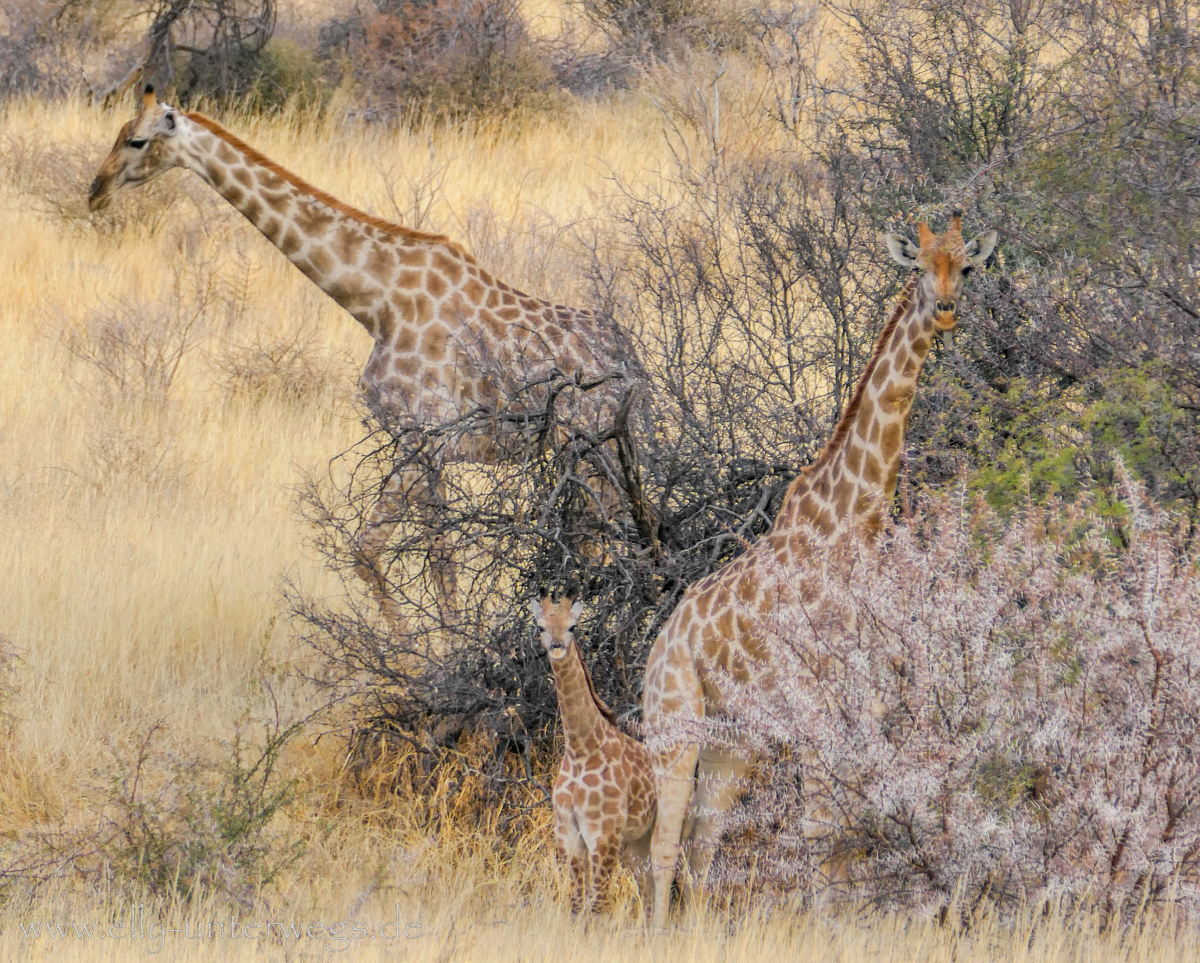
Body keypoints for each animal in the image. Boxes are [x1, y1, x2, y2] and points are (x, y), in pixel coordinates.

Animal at [90, 84, 648, 624]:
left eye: (136, 141)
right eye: (116, 133)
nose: (95, 191)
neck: (377, 301)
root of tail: (631, 362)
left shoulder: (422, 438)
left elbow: (396, 552)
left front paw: (427, 651)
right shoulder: (420, 445)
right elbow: (417, 553)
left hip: (593, 450)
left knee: (614, 540)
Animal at [532, 593, 657, 917]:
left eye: (573, 626)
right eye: (541, 627)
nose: (557, 647)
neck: (581, 749)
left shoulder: (603, 835)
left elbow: (598, 906)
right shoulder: (569, 836)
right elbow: (577, 906)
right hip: (637, 843)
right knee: (652, 888)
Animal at [643, 212, 998, 922]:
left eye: (967, 266)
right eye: (920, 266)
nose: (946, 310)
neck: (852, 523)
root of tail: (654, 653)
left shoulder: (861, 699)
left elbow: (844, 841)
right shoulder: (814, 703)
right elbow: (821, 836)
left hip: (732, 742)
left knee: (701, 844)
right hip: (674, 728)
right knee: (665, 850)